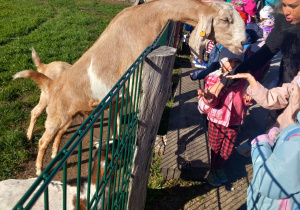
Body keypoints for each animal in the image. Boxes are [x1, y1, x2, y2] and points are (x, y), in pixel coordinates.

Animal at [12, 0, 246, 176]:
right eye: (225, 19)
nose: (244, 43)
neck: (145, 18)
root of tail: (51, 83)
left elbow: (117, 122)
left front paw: (113, 142)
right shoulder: (137, 78)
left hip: (69, 116)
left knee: (57, 135)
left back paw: (54, 155)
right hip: (56, 114)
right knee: (43, 139)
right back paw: (39, 168)